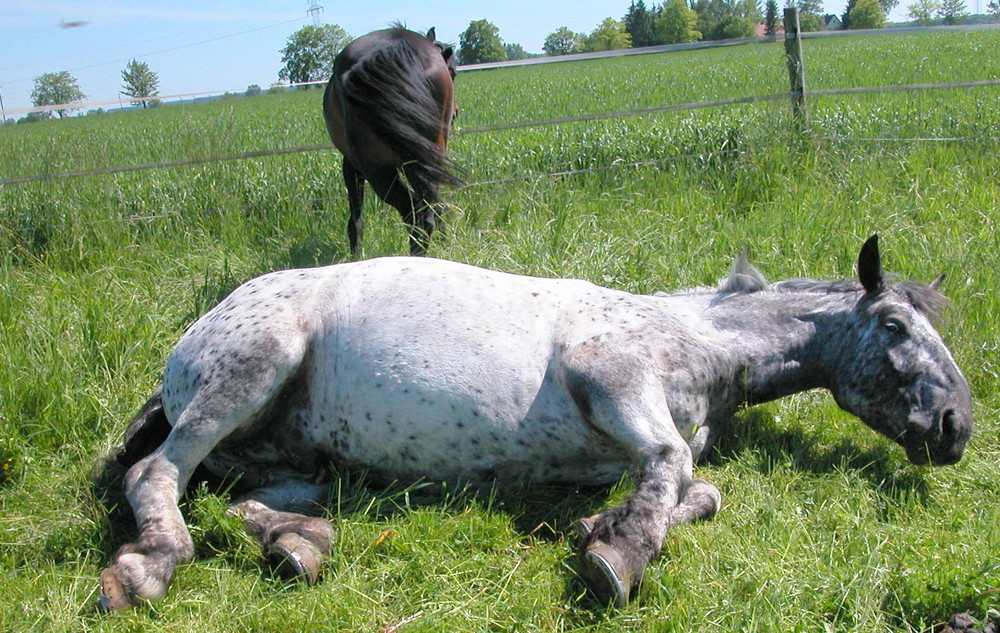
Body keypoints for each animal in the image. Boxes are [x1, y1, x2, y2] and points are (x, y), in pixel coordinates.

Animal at [97, 235, 972, 608]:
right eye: (895, 324)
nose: (957, 426)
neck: (700, 335)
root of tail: (193, 339)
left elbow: (697, 485)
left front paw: (599, 521)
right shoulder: (610, 378)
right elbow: (670, 465)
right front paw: (620, 552)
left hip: (295, 459)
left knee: (236, 496)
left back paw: (296, 542)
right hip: (252, 368)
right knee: (157, 473)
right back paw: (147, 568)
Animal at [322, 24, 462, 256]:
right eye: (453, 72)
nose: (455, 113)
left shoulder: (351, 165)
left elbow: (356, 217)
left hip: (379, 172)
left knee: (414, 213)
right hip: (422, 163)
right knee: (427, 211)